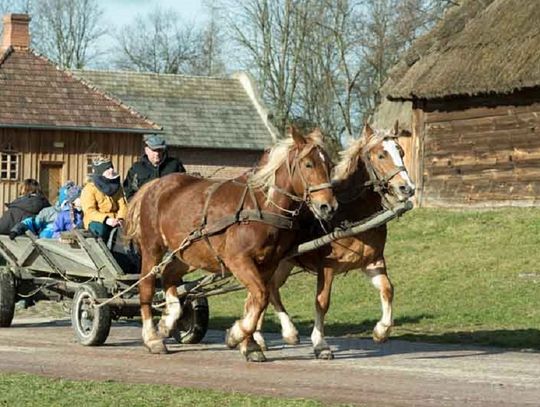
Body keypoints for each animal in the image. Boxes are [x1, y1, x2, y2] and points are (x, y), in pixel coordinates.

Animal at [126, 128, 338, 364]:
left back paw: (168, 318)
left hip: (188, 252)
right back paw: (152, 338)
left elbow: (256, 301)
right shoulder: (238, 260)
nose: (328, 206)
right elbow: (260, 296)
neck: (261, 207)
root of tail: (155, 185)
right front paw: (236, 335)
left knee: (169, 275)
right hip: (152, 247)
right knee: (147, 287)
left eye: (330, 165)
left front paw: (251, 345)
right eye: (308, 164)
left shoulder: (268, 264)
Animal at [255, 122, 416, 358]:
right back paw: (263, 336)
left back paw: (278, 334)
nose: (407, 188)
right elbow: (322, 302)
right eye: (381, 154)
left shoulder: (372, 261)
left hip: (284, 263)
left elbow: (388, 289)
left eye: (401, 152)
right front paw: (320, 343)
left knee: (270, 290)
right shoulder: (327, 267)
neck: (352, 211)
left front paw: (381, 330)